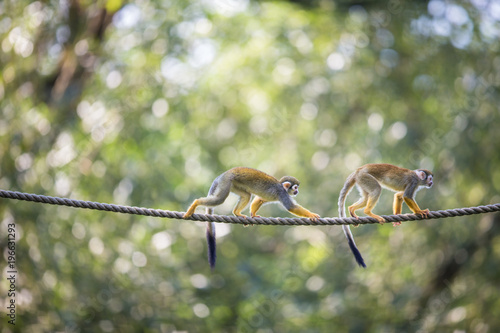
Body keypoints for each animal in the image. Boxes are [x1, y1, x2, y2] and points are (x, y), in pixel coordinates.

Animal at [184, 166, 320, 268]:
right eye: (295, 187)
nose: (297, 191)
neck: (283, 188)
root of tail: (222, 175)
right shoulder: (282, 194)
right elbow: (291, 207)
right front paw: (312, 215)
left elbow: (259, 199)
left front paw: (253, 215)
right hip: (226, 182)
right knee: (219, 199)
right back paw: (195, 203)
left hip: (233, 184)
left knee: (247, 195)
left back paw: (237, 213)